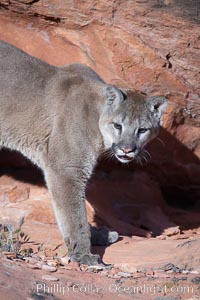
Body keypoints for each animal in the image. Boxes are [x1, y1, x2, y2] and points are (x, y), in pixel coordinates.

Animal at [0, 40, 167, 264]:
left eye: (142, 130)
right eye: (118, 125)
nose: (126, 149)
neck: (97, 117)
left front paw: (98, 236)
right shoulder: (67, 170)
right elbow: (74, 214)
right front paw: (83, 254)